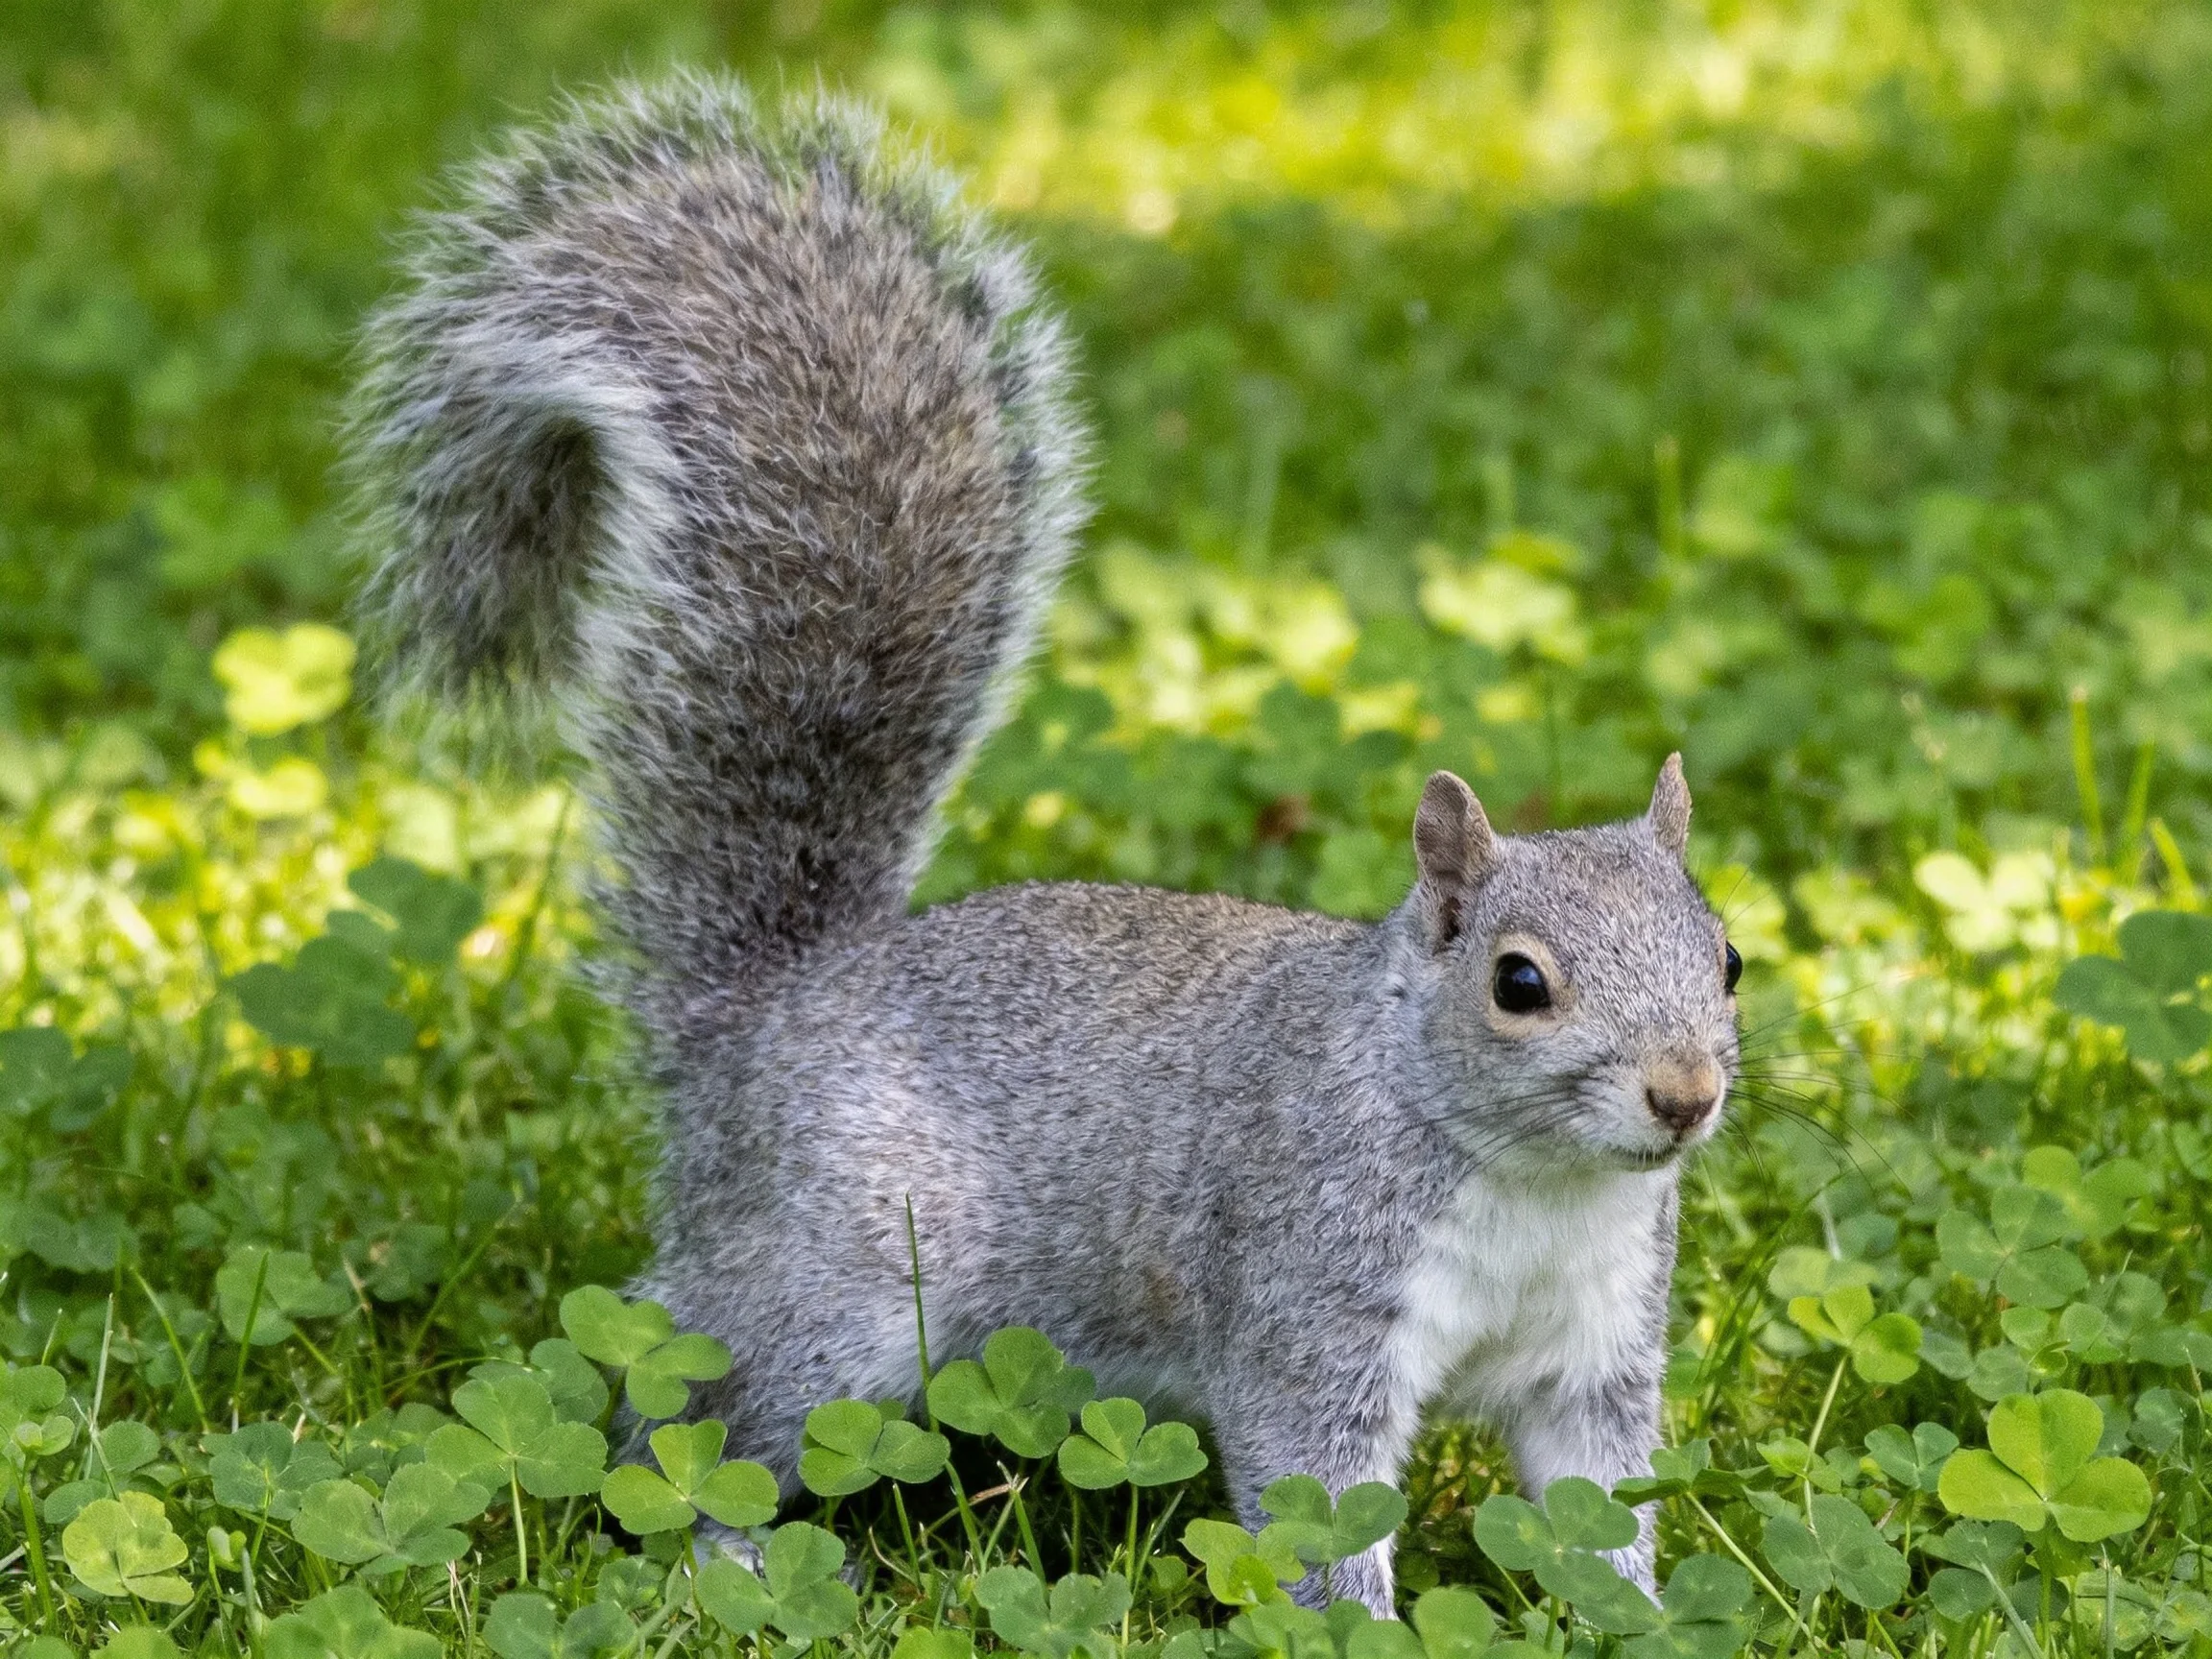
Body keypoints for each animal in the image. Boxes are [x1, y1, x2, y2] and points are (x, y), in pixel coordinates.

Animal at [351, 75, 1740, 1612]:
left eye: (1730, 958)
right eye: (1518, 983)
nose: (1685, 1096)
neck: (1538, 1184)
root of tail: (764, 1020)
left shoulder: (1595, 1350)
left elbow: (1599, 1504)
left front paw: (1649, 1617)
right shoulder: (1310, 1305)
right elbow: (1317, 1497)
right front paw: (1365, 1631)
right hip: (843, 1284)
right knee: (694, 1414)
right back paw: (741, 1564)